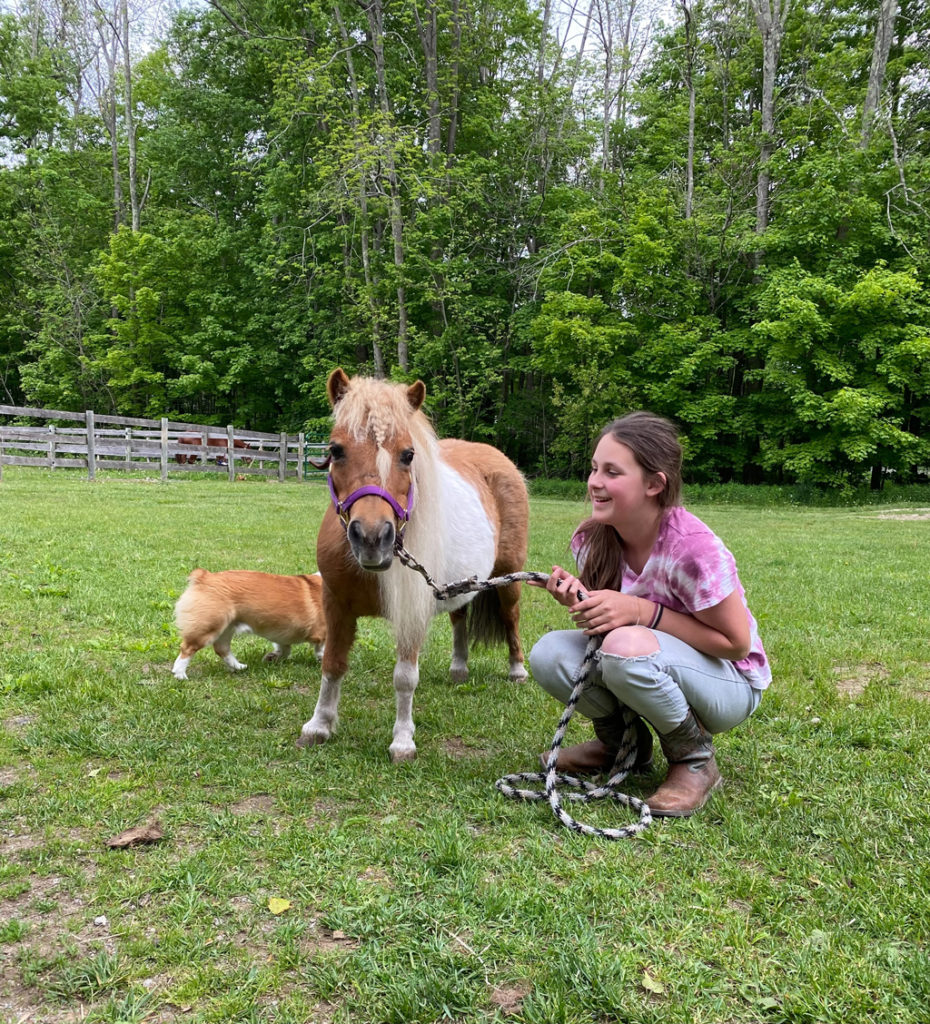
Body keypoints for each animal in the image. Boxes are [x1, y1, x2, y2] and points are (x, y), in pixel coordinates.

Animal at [171, 569, 327, 679]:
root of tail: (204, 576)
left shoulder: (284, 634)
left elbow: (284, 649)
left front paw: (271, 658)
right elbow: (321, 651)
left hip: (227, 627)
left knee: (222, 649)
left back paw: (239, 667)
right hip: (209, 627)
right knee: (188, 648)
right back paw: (180, 674)